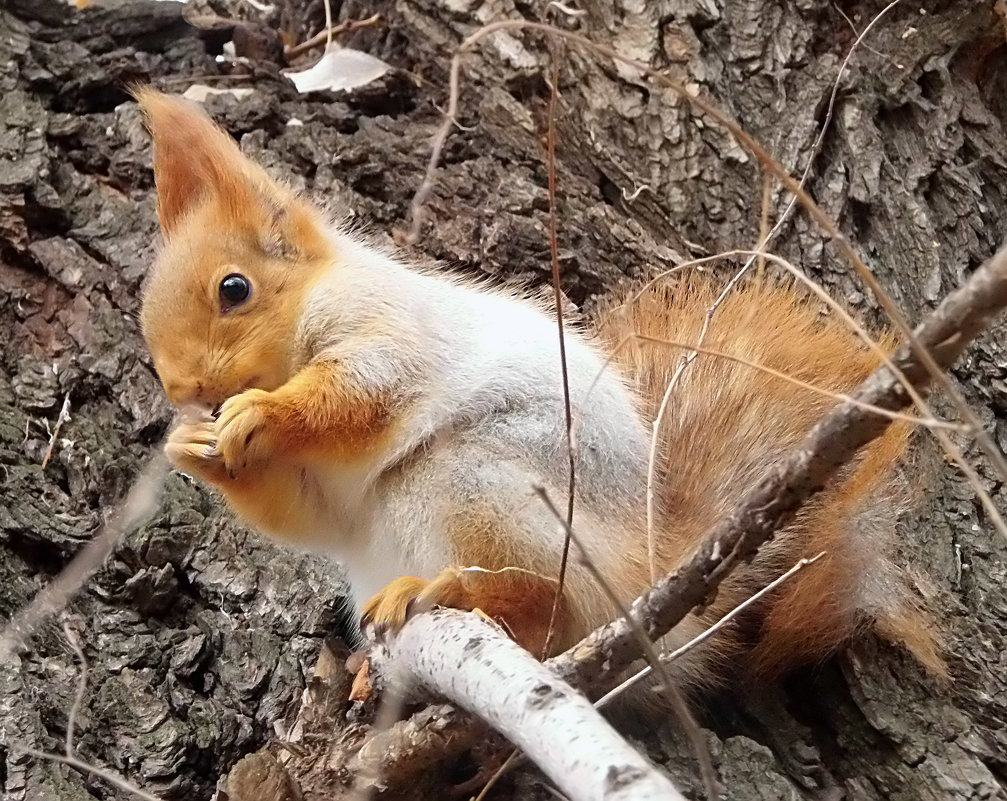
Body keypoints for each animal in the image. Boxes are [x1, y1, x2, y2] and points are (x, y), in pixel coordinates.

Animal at [133, 86, 942, 689]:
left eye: (234, 289)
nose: (183, 387)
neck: (306, 309)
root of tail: (652, 575)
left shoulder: (389, 327)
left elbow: (359, 395)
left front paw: (263, 413)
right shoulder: (318, 494)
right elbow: (305, 513)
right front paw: (193, 447)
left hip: (481, 485)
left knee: (542, 607)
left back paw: (456, 592)